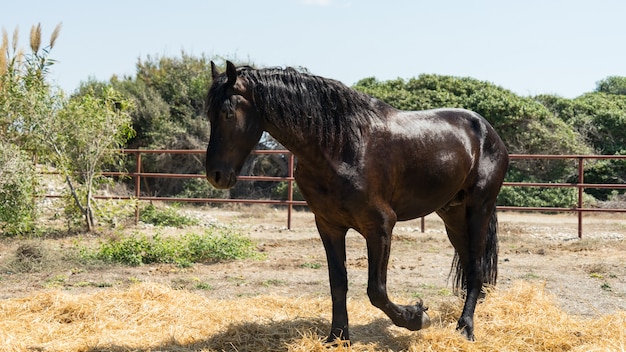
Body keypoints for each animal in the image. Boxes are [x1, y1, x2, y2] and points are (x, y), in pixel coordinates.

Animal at [205, 62, 508, 342]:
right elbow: (338, 283)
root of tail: (487, 130)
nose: (216, 175)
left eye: (228, 113)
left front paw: (415, 316)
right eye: (209, 114)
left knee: (476, 267)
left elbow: (376, 290)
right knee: (469, 264)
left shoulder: (380, 226)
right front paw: (337, 336)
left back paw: (466, 327)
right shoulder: (328, 226)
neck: (341, 147)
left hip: (478, 210)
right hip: (452, 215)